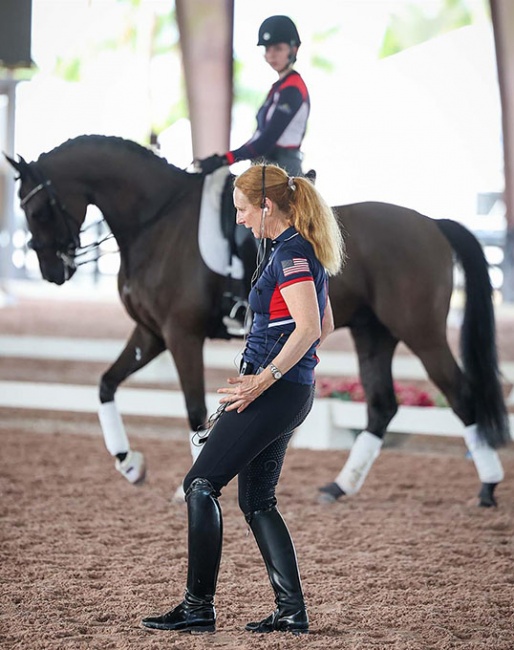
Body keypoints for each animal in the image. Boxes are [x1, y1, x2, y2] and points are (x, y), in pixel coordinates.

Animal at [6, 134, 510, 504]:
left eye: (38, 209)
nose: (52, 272)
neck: (156, 221)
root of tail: (431, 222)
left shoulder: (180, 334)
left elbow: (194, 408)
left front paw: (185, 480)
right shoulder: (150, 332)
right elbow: (106, 385)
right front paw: (130, 464)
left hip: (420, 331)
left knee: (461, 396)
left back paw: (487, 488)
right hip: (374, 334)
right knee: (383, 406)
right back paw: (338, 487)